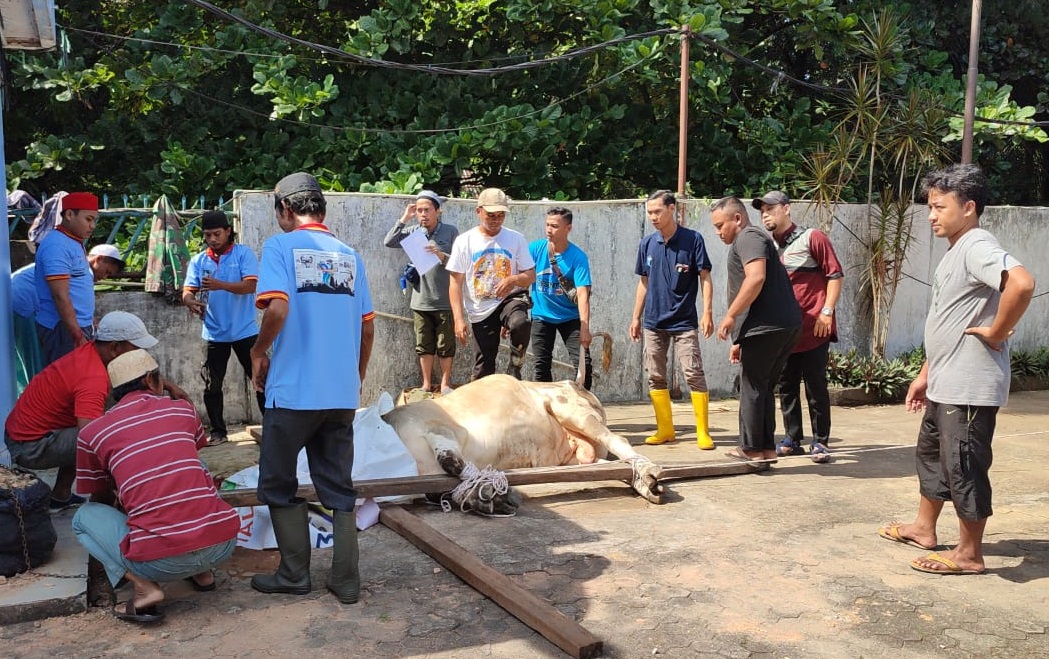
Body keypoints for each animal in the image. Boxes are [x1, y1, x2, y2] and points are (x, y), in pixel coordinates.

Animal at [383, 375, 662, 514]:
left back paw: (648, 474)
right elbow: (441, 489)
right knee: (603, 465)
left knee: (619, 440)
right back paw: (641, 480)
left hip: (571, 410)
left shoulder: (437, 426)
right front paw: (486, 498)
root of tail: (579, 385)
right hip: (574, 455)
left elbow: (451, 460)